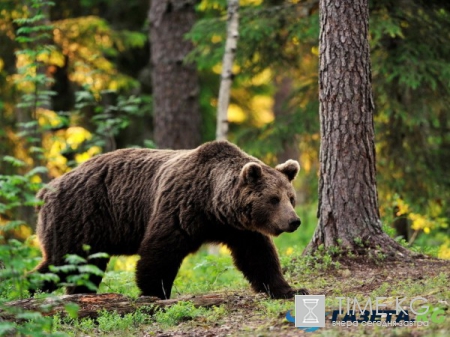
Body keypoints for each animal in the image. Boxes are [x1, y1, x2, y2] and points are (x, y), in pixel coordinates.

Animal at [34, 140, 306, 298]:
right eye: (273, 199)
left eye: (291, 198)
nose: (294, 221)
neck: (213, 204)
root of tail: (47, 189)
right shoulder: (180, 207)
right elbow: (160, 251)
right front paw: (156, 292)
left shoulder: (239, 228)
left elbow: (258, 257)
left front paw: (289, 289)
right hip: (80, 217)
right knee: (62, 263)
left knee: (84, 268)